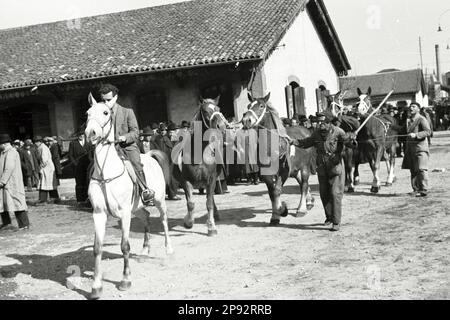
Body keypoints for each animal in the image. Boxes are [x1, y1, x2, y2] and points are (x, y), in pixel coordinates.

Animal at [84, 93, 172, 300]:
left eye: (106, 112)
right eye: (87, 113)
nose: (90, 133)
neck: (105, 174)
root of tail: (149, 155)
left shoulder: (124, 213)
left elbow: (124, 246)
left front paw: (125, 281)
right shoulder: (98, 214)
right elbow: (97, 248)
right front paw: (96, 287)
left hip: (159, 201)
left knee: (164, 220)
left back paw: (168, 250)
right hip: (137, 208)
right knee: (146, 216)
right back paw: (145, 251)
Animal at [172, 96, 229, 236]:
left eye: (218, 108)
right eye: (205, 111)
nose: (221, 126)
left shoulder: (211, 179)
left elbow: (209, 203)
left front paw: (211, 227)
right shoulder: (186, 181)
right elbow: (191, 204)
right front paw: (188, 222)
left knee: (211, 198)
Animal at [241, 92, 314, 225]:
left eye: (261, 106)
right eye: (249, 105)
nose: (246, 120)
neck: (272, 146)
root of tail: (305, 131)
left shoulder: (284, 171)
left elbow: (277, 190)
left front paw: (282, 210)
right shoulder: (266, 173)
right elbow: (272, 192)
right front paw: (276, 215)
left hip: (304, 166)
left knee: (304, 184)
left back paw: (301, 209)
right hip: (295, 169)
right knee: (301, 182)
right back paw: (309, 201)